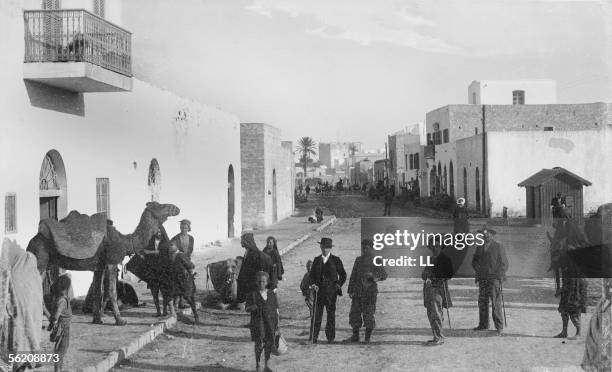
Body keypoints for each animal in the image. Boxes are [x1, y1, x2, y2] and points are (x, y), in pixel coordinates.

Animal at [26, 201, 179, 326]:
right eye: (160, 205)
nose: (176, 208)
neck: (125, 241)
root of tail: (31, 242)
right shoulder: (112, 261)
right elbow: (112, 291)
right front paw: (120, 321)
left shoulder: (99, 266)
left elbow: (98, 291)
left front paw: (98, 319)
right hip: (40, 258)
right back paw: (47, 320)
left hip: (46, 263)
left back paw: (49, 319)